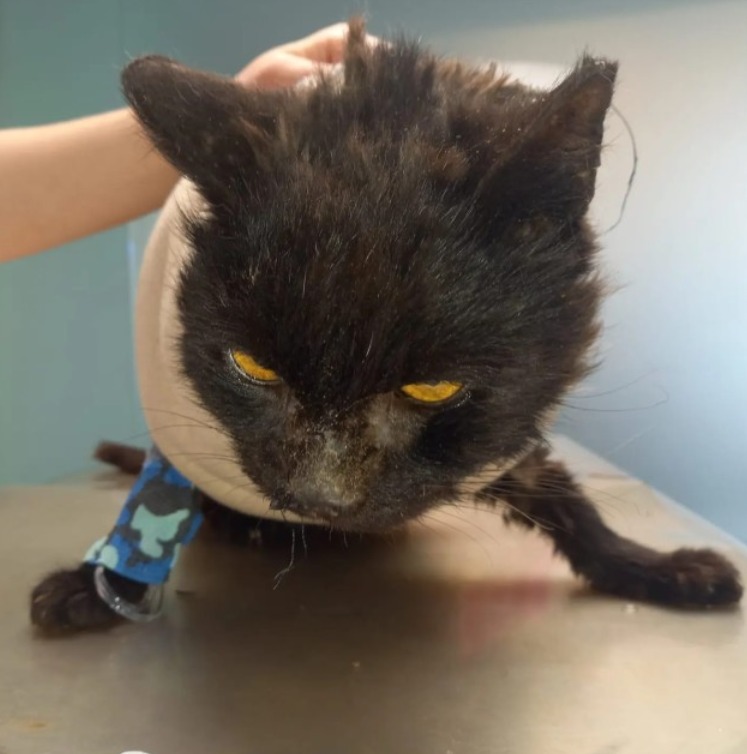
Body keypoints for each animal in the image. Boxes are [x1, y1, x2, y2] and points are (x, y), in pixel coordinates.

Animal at [30, 19, 741, 633]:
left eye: (433, 388)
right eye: (253, 366)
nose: (321, 499)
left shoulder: (504, 437)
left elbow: (565, 495)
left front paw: (656, 568)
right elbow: (151, 506)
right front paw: (95, 586)